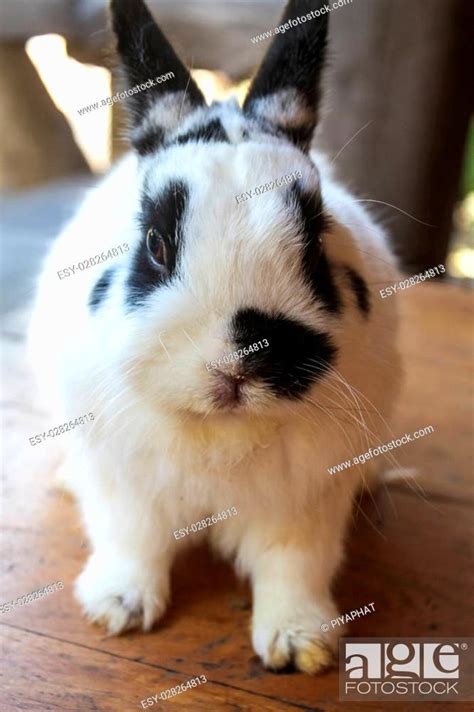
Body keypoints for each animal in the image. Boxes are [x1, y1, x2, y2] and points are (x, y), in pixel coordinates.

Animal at [28, 0, 400, 672]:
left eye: (315, 242)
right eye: (155, 244)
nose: (237, 364)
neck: (219, 434)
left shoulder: (306, 500)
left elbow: (294, 565)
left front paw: (299, 645)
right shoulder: (124, 483)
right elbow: (131, 541)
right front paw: (117, 609)